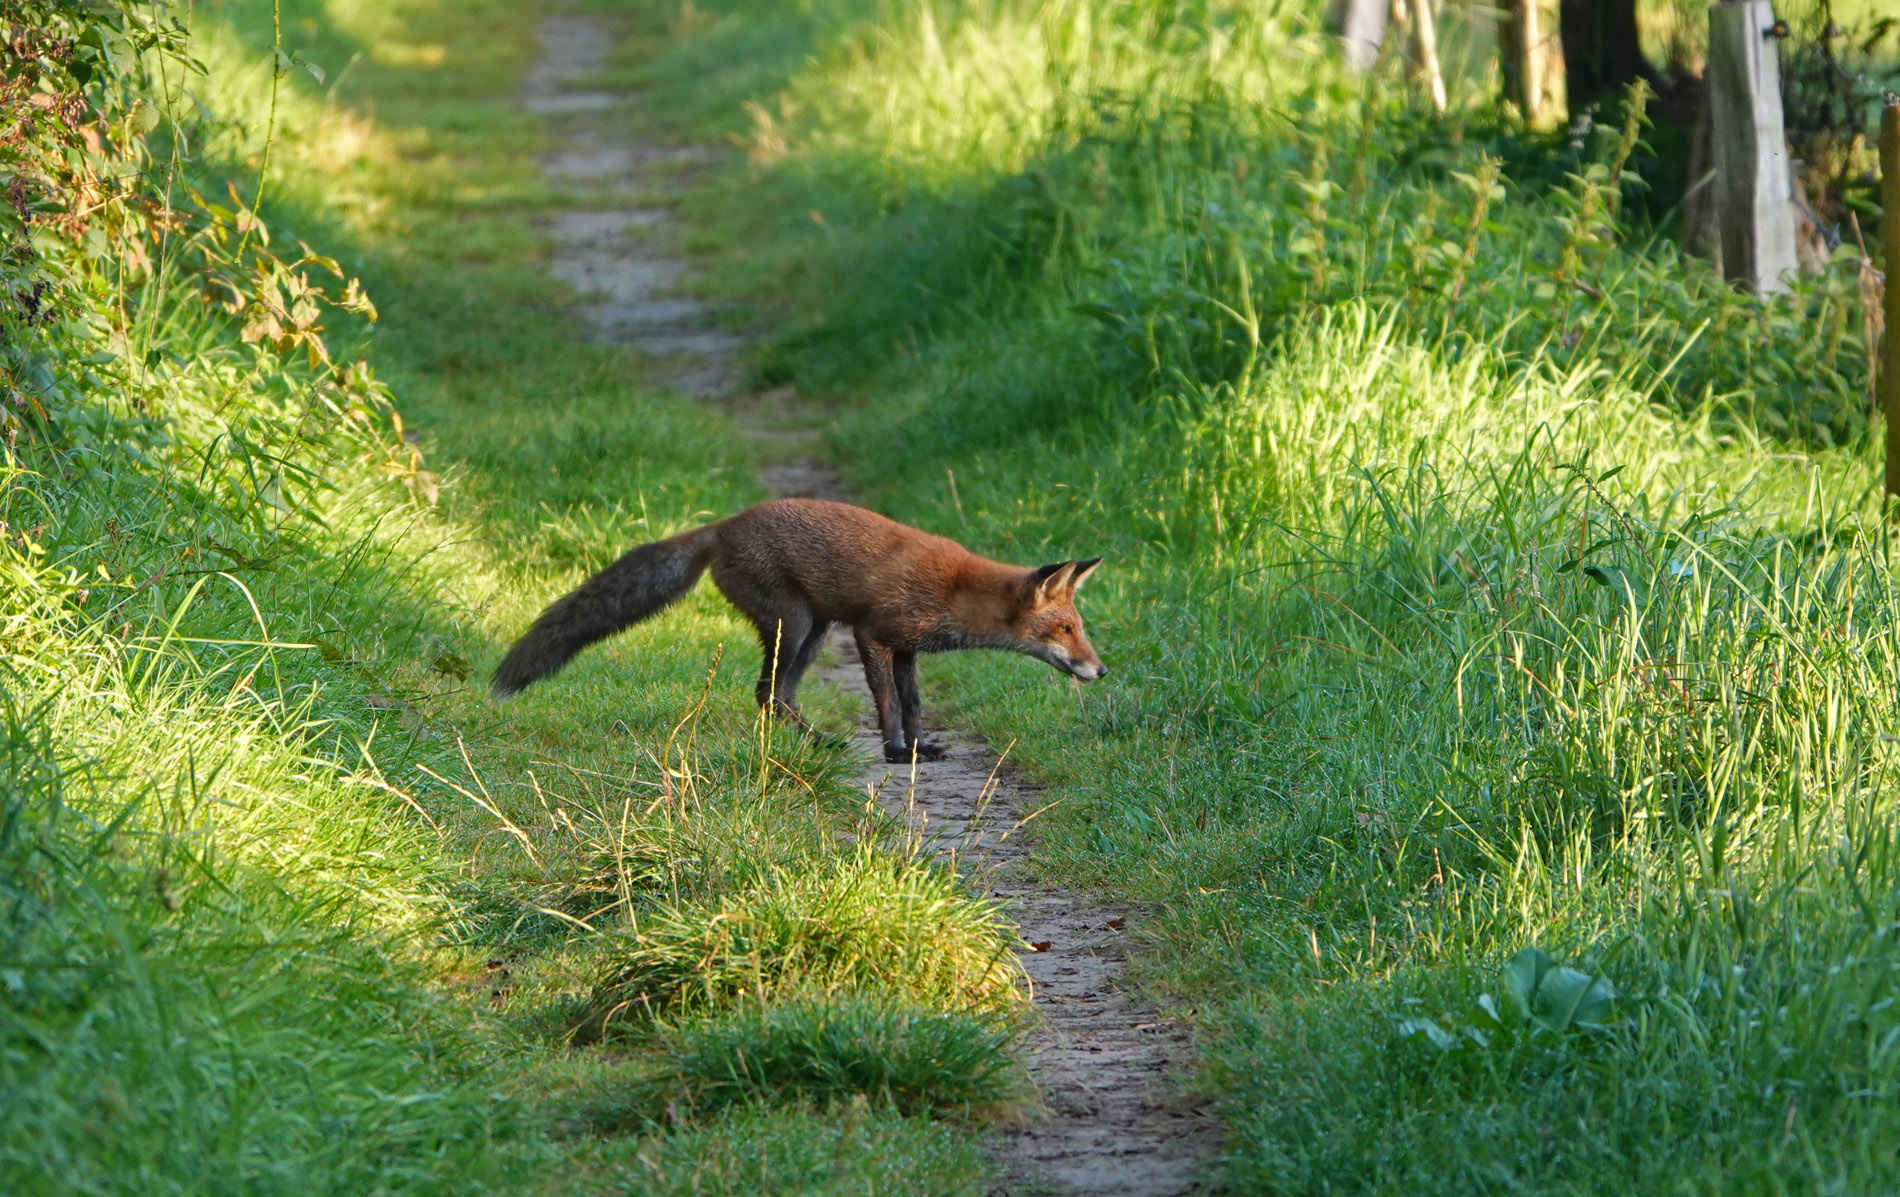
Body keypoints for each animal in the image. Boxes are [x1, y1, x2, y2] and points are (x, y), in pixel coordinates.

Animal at [497, 497, 1109, 763]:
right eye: (1064, 629)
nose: (1101, 670)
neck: (955, 591)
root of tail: (723, 524)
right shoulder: (873, 635)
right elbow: (889, 704)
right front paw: (895, 752)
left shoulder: (908, 650)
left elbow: (914, 705)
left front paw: (918, 746)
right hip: (795, 626)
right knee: (766, 691)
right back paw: (813, 744)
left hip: (812, 631)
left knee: (778, 695)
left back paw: (814, 743)